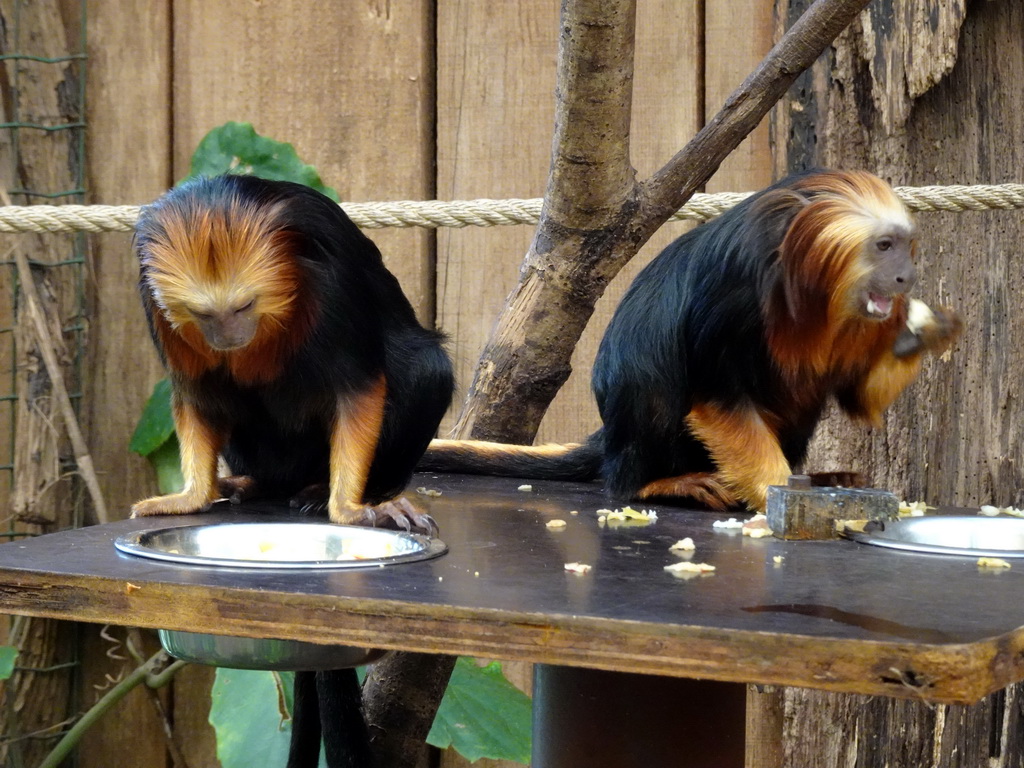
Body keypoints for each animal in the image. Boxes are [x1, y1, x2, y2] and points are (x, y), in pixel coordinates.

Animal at [134, 174, 454, 768]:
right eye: (206, 315)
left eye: (244, 305)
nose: (227, 336)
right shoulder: (154, 296)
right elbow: (198, 393)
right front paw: (191, 494)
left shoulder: (329, 275)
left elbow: (358, 384)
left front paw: (349, 506)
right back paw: (253, 483)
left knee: (424, 366)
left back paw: (342, 489)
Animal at [421, 171, 958, 514]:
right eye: (884, 247)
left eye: (906, 248)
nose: (905, 276)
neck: (807, 280)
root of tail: (610, 439)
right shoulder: (732, 293)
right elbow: (715, 396)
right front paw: (779, 491)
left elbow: (856, 396)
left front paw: (927, 332)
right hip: (635, 435)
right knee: (650, 389)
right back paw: (654, 485)